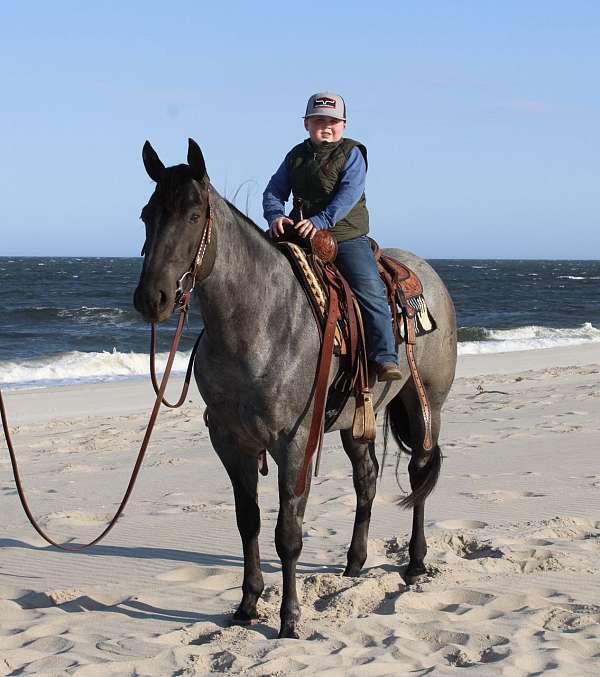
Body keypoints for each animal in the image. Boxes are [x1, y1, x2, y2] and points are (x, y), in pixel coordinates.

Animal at [133, 138, 457, 639]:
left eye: (193, 213)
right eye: (147, 214)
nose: (152, 299)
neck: (258, 322)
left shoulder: (294, 442)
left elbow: (288, 532)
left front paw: (289, 618)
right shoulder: (229, 442)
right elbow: (248, 521)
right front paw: (247, 604)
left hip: (428, 407)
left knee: (420, 473)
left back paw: (416, 563)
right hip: (356, 420)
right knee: (367, 479)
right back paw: (354, 563)